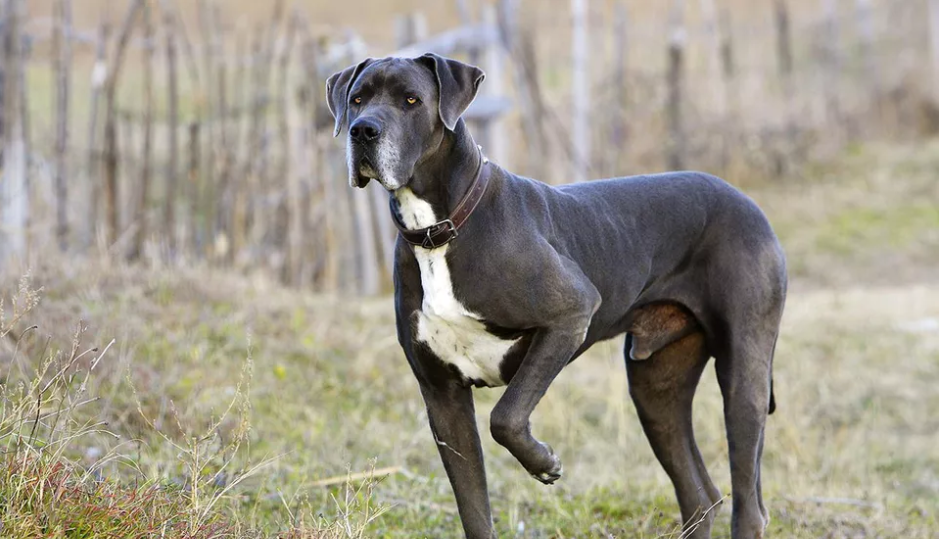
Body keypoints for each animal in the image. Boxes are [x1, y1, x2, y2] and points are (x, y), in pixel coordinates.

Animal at [326, 53, 784, 539]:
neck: (440, 229)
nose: (362, 131)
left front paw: (545, 463)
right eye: (358, 99)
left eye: (411, 100)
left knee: (748, 500)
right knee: (700, 495)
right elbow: (473, 507)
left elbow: (506, 416)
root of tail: (745, 200)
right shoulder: (442, 396)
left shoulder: (571, 313)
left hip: (744, 375)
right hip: (655, 386)